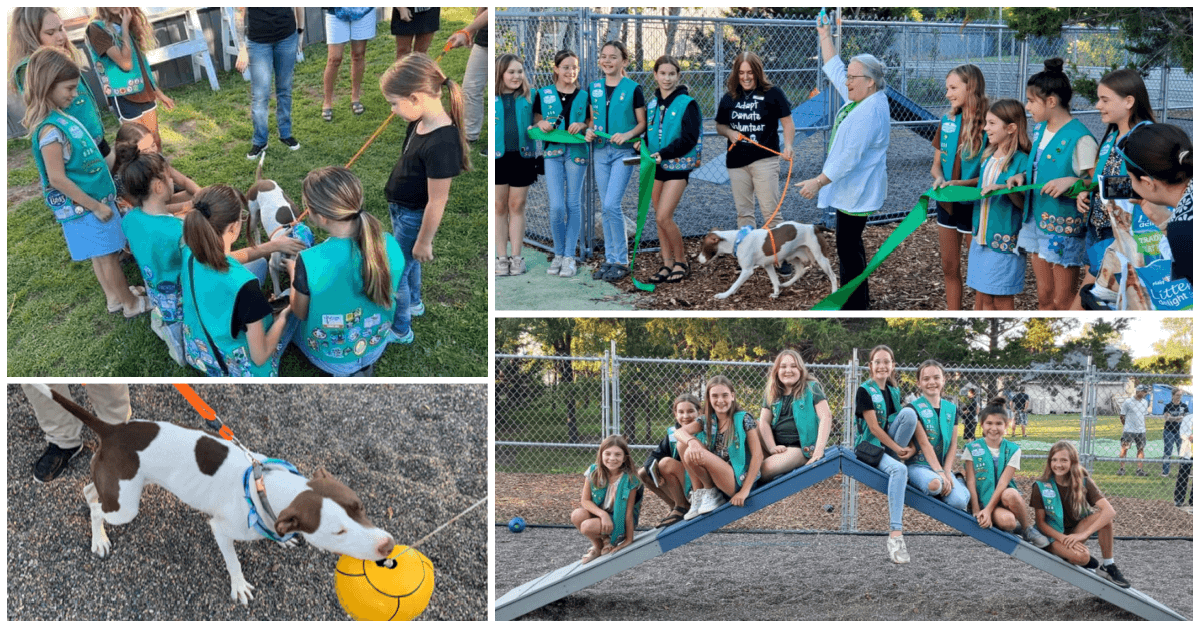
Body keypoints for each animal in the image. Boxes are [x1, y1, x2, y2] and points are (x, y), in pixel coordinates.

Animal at [29, 386, 393, 607]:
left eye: (360, 507)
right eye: (338, 531)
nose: (388, 546)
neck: (265, 487)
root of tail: (112, 429)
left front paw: (285, 540)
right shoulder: (220, 528)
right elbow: (233, 561)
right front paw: (239, 586)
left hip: (119, 487)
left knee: (90, 490)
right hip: (125, 507)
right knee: (95, 506)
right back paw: (100, 539)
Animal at [700, 220, 840, 300]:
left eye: (704, 246)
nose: (698, 259)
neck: (737, 240)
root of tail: (813, 227)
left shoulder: (747, 271)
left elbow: (734, 284)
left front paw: (723, 295)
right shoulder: (767, 265)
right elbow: (774, 280)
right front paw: (776, 293)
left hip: (820, 257)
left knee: (833, 276)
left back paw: (834, 292)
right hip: (791, 255)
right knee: (800, 271)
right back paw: (786, 284)